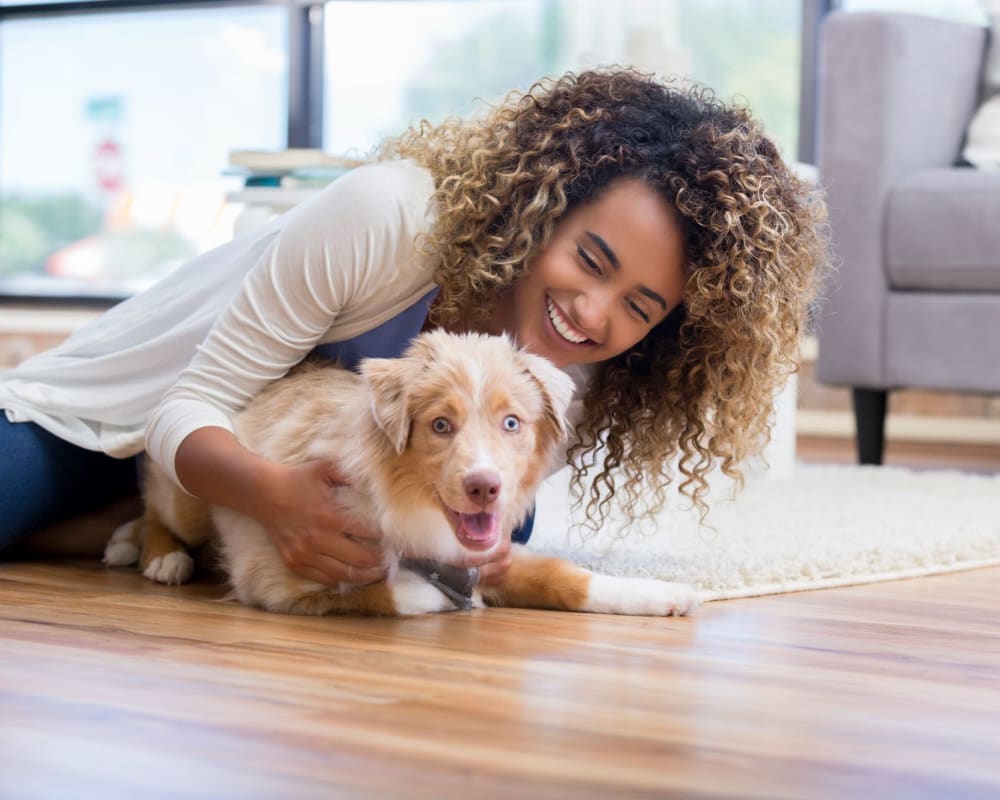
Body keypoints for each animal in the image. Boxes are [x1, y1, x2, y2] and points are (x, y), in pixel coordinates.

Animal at [101, 332, 696, 620]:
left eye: (511, 423)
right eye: (440, 425)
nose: (485, 487)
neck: (410, 504)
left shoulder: (490, 554)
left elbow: (567, 577)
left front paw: (665, 593)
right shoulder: (272, 576)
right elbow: (393, 592)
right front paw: (444, 596)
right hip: (189, 492)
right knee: (154, 507)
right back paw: (155, 554)